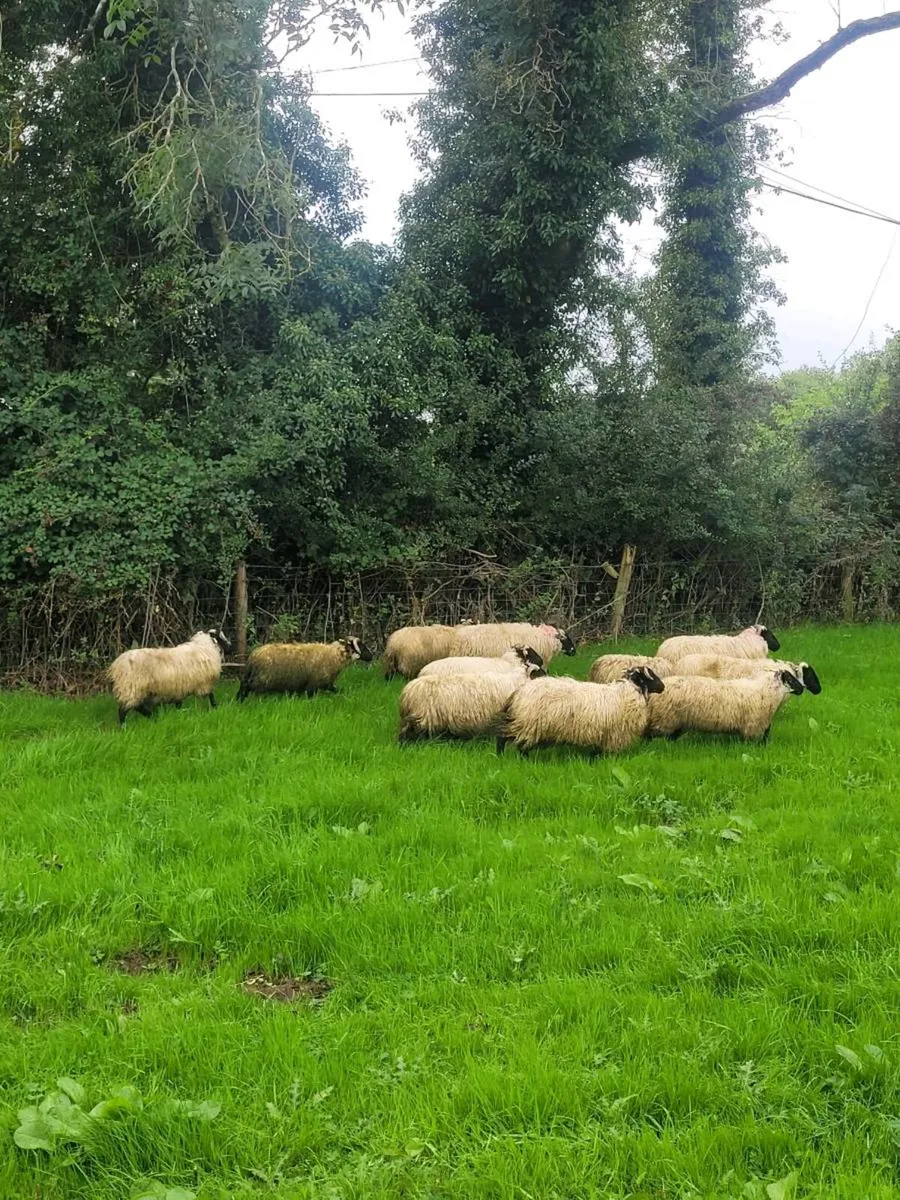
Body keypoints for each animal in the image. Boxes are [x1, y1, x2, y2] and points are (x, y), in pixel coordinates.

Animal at [237, 637, 373, 701]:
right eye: (361, 646)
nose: (372, 656)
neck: (335, 656)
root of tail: (253, 656)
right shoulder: (313, 685)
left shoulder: (327, 683)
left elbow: (338, 690)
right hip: (261, 680)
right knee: (248, 687)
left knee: (244, 685)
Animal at [497, 666, 665, 758]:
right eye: (650, 676)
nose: (662, 687)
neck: (630, 691)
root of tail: (520, 691)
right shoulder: (613, 734)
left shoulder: (601, 734)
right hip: (529, 723)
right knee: (512, 742)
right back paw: (507, 757)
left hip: (525, 722)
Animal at [645, 670, 803, 743]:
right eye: (790, 679)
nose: (802, 688)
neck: (766, 690)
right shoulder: (752, 726)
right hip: (664, 719)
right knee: (650, 735)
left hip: (675, 722)